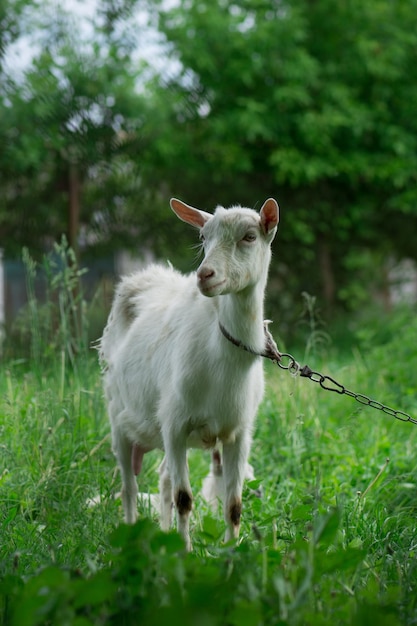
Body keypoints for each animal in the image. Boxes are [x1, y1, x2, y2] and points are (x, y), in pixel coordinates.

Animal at [98, 197, 278, 548]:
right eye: (203, 237)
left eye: (249, 237)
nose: (205, 275)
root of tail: (141, 278)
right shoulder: (175, 424)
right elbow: (184, 499)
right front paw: (184, 553)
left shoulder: (239, 432)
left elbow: (234, 504)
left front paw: (231, 551)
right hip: (118, 416)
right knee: (129, 487)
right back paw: (131, 535)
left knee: (164, 479)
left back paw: (164, 532)